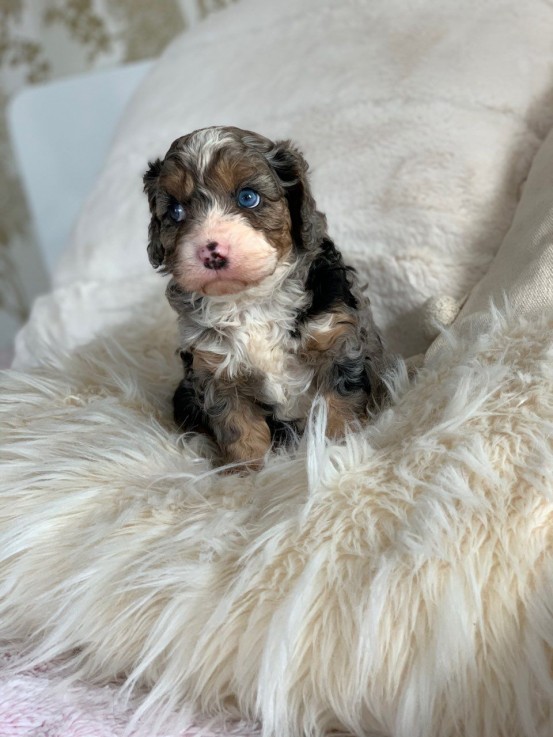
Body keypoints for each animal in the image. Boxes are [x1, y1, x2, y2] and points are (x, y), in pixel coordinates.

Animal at [144, 126, 390, 468]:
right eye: (176, 211)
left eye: (248, 197)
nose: (210, 251)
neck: (252, 301)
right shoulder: (216, 372)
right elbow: (238, 428)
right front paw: (248, 472)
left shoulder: (340, 344)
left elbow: (338, 406)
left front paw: (338, 451)